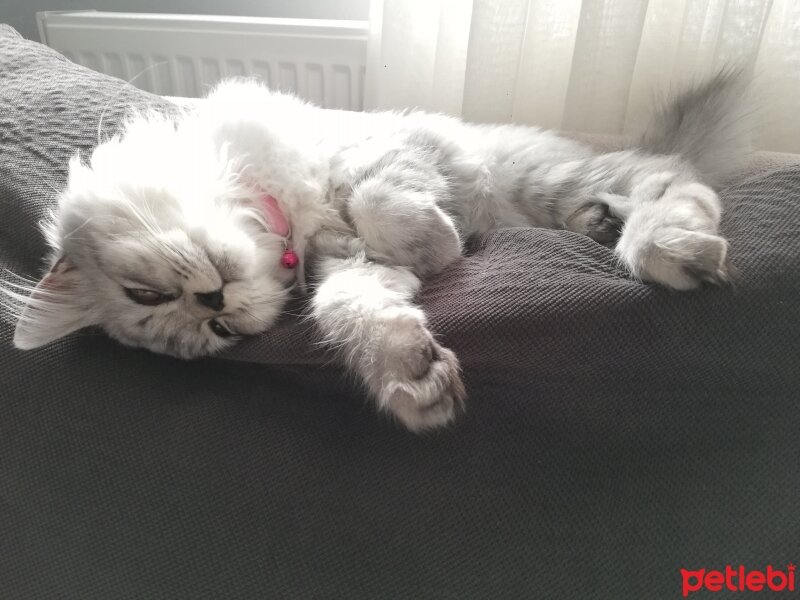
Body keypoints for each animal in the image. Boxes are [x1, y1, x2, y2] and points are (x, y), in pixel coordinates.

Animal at [7, 70, 756, 432]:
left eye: (147, 293)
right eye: (218, 334)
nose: (214, 301)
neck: (287, 222)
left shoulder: (384, 157)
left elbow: (378, 203)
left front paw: (442, 245)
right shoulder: (352, 270)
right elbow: (355, 314)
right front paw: (413, 380)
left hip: (537, 176)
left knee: (673, 178)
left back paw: (667, 246)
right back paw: (602, 225)